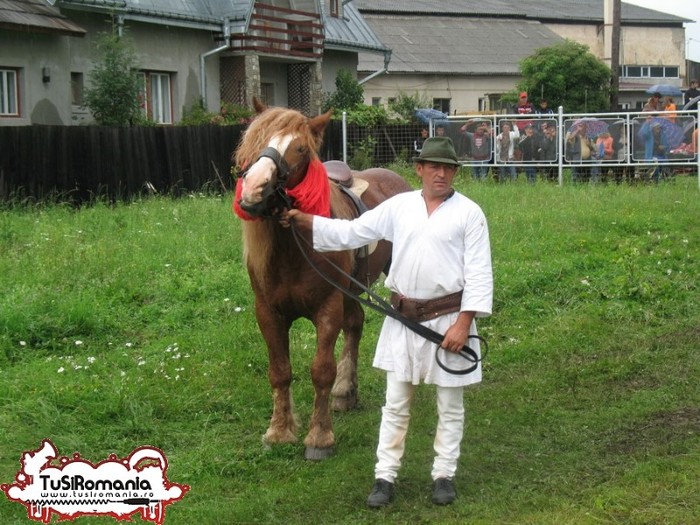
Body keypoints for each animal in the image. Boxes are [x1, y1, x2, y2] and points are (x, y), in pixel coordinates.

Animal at [232, 99, 412, 458]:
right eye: (255, 139)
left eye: (300, 148)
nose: (254, 187)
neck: (293, 248)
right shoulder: (268, 313)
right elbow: (279, 372)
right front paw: (279, 431)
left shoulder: (328, 309)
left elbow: (321, 371)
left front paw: (319, 437)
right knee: (355, 324)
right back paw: (346, 392)